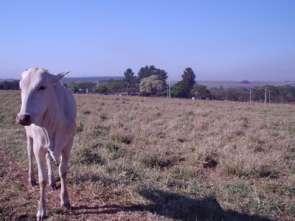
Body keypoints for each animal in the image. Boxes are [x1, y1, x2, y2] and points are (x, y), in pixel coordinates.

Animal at [16, 68, 77, 221]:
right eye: (21, 87)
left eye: (42, 87)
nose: (23, 118)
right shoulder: (38, 148)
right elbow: (42, 179)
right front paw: (41, 210)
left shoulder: (68, 145)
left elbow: (63, 171)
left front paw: (65, 200)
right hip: (29, 138)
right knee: (30, 156)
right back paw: (31, 178)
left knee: (49, 159)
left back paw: (53, 181)